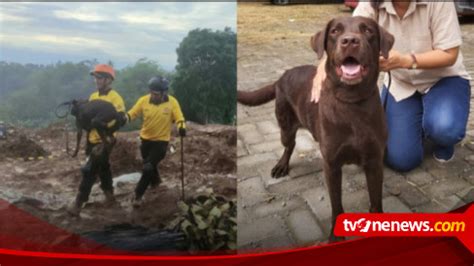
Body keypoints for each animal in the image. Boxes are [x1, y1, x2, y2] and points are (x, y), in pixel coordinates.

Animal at [239, 16, 394, 241]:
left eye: (368, 30)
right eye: (335, 31)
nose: (350, 41)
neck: (351, 101)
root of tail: (281, 76)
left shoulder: (374, 161)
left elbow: (376, 201)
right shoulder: (331, 164)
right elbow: (337, 205)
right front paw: (335, 237)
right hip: (285, 125)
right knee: (289, 145)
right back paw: (281, 166)